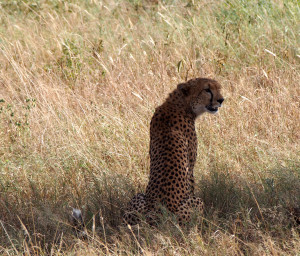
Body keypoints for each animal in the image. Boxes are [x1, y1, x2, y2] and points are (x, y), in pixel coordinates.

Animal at [123, 78, 224, 226]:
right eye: (207, 90)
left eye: (219, 88)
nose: (221, 100)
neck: (179, 104)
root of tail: (155, 215)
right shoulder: (190, 167)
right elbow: (191, 184)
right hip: (195, 204)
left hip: (137, 199)